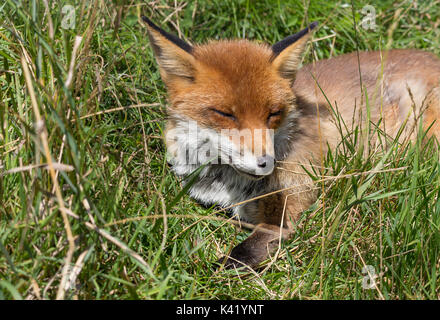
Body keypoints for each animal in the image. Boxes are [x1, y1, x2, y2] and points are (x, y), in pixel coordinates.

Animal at [142, 16, 440, 268]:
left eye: (273, 113)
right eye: (225, 114)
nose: (267, 163)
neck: (228, 183)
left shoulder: (288, 212)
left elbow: (238, 255)